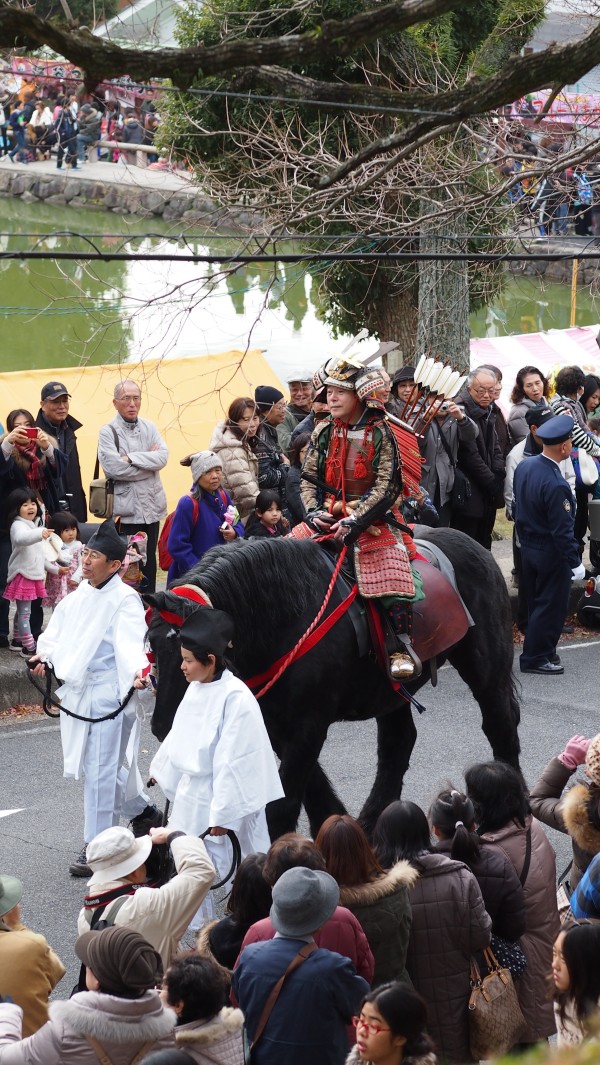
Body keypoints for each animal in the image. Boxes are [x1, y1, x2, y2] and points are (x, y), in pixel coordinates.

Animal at [147, 528, 522, 843]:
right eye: (152, 645)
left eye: (195, 651)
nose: (162, 726)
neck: (286, 616)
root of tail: (474, 544)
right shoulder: (279, 724)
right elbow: (311, 787)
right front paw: (337, 826)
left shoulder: (308, 724)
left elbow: (284, 802)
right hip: (388, 692)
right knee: (398, 743)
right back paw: (374, 820)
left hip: (486, 668)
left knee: (499, 723)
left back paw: (511, 806)